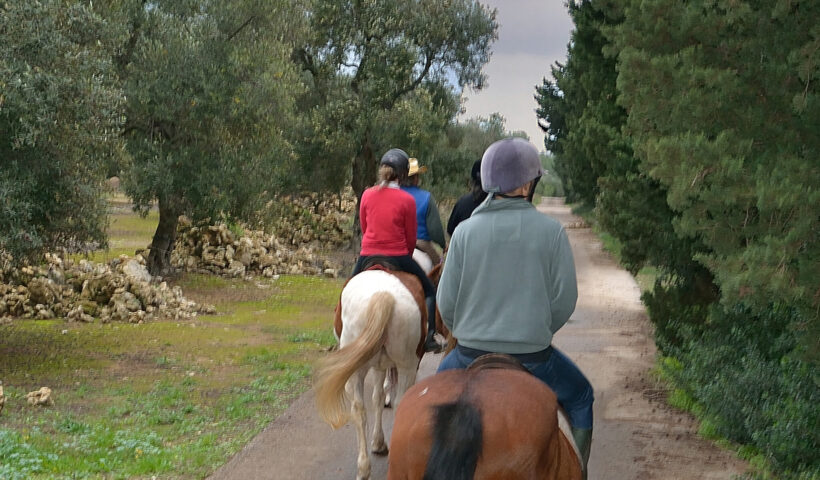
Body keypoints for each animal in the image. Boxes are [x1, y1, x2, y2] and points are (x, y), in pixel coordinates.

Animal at [316, 268, 430, 480]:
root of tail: (383, 296)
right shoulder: (384, 367)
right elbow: (379, 397)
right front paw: (379, 443)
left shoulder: (379, 366)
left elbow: (377, 398)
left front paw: (378, 442)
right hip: (407, 366)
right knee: (395, 404)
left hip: (360, 370)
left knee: (359, 410)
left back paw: (363, 468)